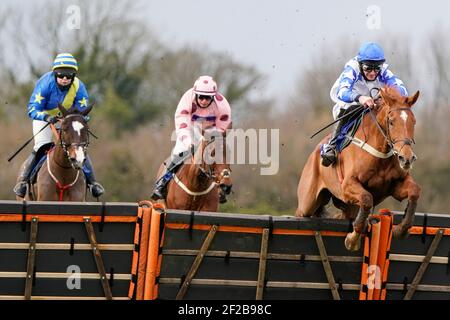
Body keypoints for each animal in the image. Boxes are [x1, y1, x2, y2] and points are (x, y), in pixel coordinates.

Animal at [296, 87, 422, 250]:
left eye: (414, 122)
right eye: (391, 122)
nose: (406, 158)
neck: (381, 154)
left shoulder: (395, 186)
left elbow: (414, 191)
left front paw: (401, 229)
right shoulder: (347, 186)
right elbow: (367, 199)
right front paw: (353, 239)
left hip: (349, 206)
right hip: (307, 203)